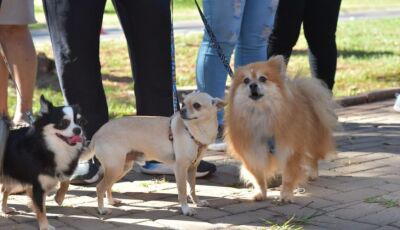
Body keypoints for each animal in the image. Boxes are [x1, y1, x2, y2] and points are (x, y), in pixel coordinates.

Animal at [0, 94, 86, 229]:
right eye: (63, 123)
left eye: (80, 122)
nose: (78, 130)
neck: (49, 148)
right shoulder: (37, 186)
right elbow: (40, 208)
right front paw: (45, 226)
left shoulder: (56, 173)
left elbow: (66, 180)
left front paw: (59, 197)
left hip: (14, 176)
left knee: (5, 190)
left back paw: (4, 209)